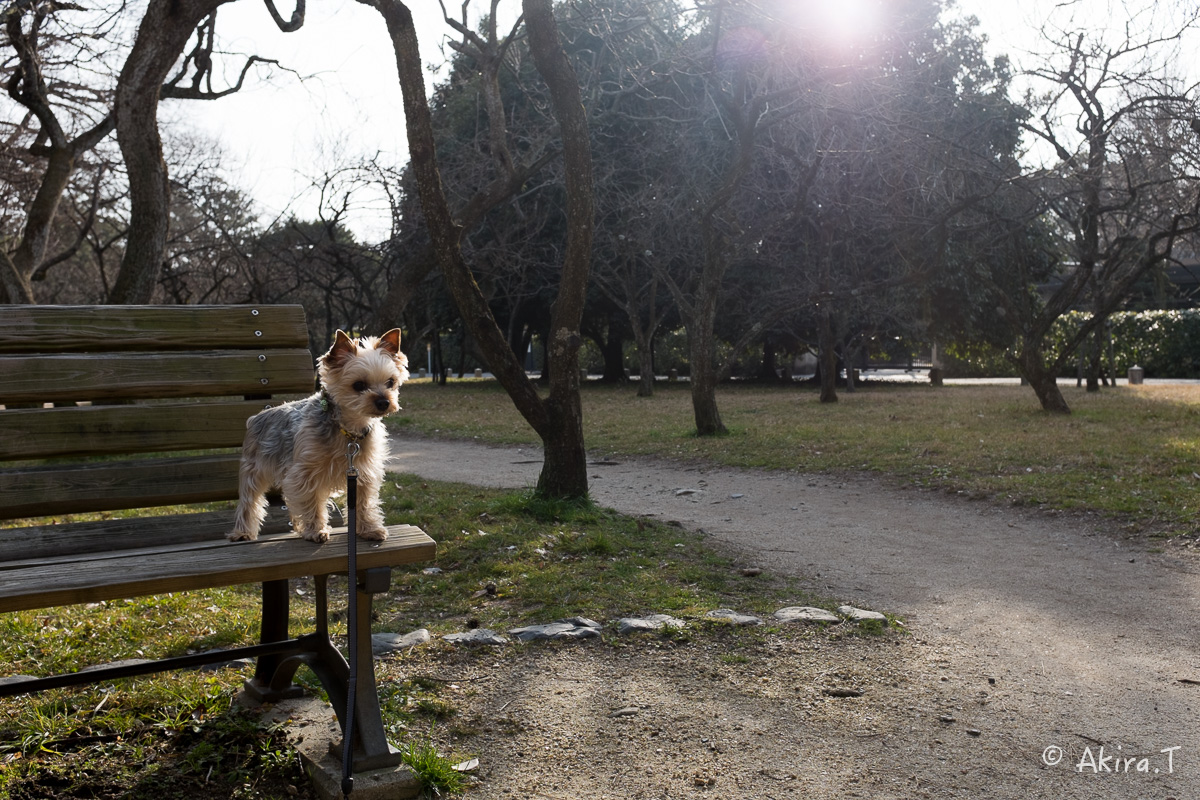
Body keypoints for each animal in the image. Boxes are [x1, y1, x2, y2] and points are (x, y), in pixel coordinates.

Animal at [226, 326, 410, 544]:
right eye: (358, 385)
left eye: (390, 382)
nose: (384, 402)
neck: (348, 429)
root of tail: (256, 417)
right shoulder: (304, 473)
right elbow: (310, 501)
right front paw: (315, 531)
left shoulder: (363, 473)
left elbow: (363, 502)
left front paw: (369, 529)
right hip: (254, 469)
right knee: (249, 501)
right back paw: (242, 532)